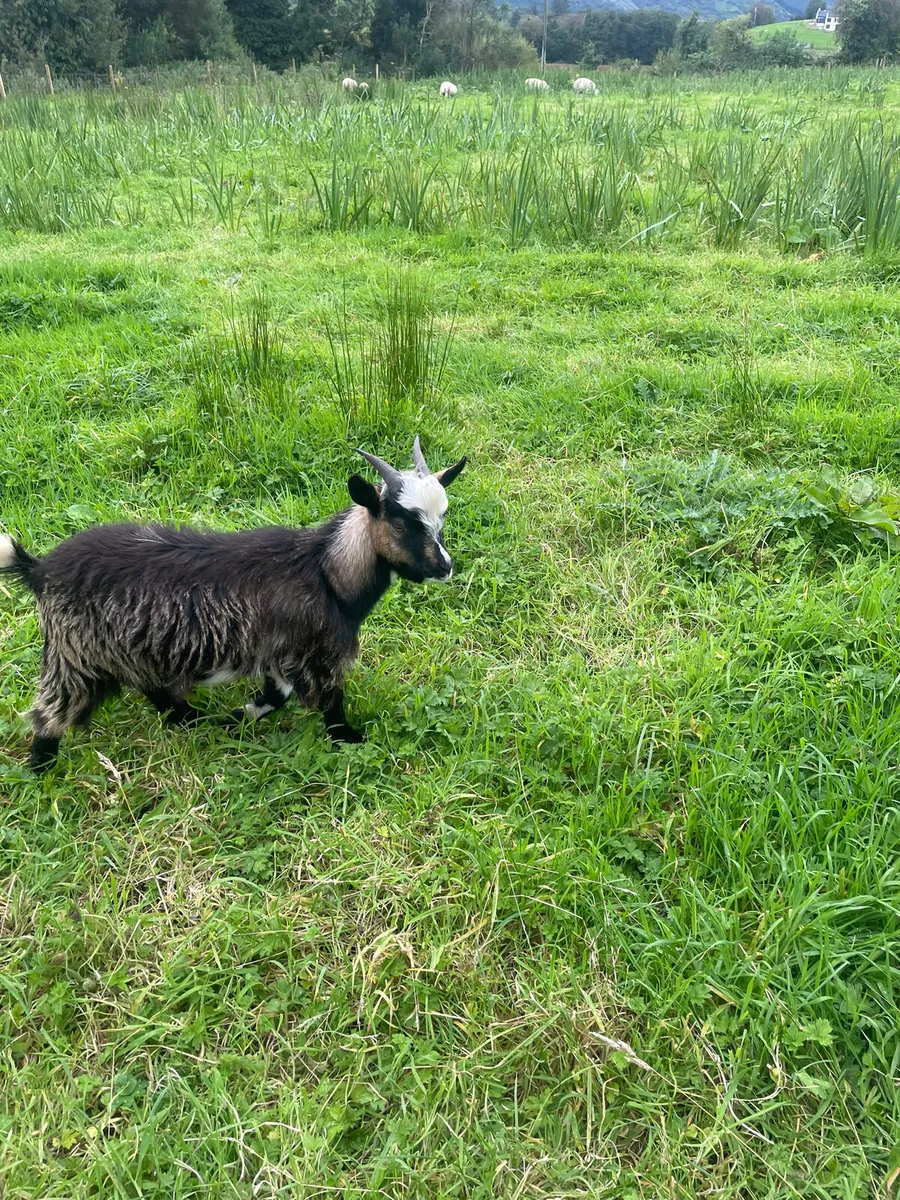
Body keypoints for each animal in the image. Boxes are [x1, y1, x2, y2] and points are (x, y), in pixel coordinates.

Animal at [0, 439, 466, 772]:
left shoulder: (278, 650)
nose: (445, 567)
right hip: (74, 655)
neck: (326, 572)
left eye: (441, 519)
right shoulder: (313, 653)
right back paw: (41, 771)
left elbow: (275, 697)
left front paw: (238, 716)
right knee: (49, 714)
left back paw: (193, 720)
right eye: (401, 523)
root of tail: (40, 570)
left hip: (130, 650)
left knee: (156, 691)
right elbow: (329, 701)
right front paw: (349, 739)